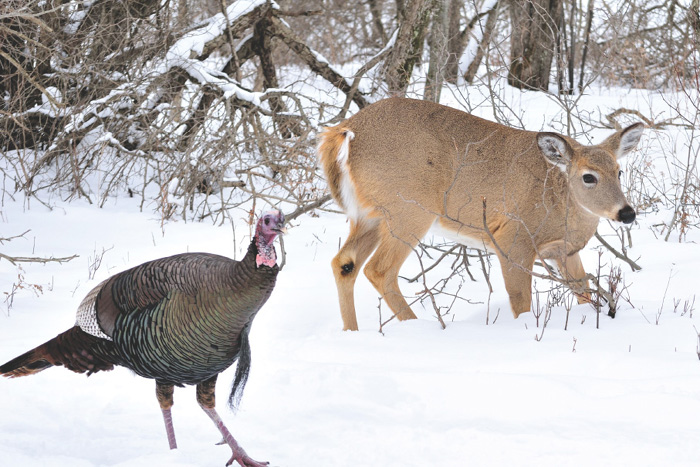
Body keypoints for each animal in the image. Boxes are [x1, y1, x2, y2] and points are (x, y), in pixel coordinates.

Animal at [320, 97, 644, 330]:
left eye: (619, 171)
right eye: (589, 177)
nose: (627, 213)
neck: (559, 200)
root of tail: (343, 132)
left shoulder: (564, 251)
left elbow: (583, 292)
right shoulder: (512, 239)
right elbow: (521, 300)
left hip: (369, 215)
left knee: (344, 262)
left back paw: (352, 332)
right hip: (408, 209)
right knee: (379, 269)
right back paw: (418, 327)